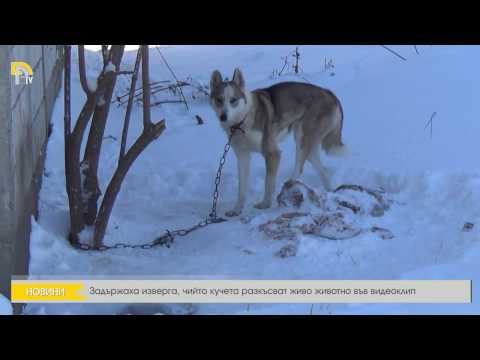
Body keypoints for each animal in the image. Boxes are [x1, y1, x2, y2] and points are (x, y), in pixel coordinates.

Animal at [210, 69, 344, 218]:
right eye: (219, 100)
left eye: (233, 100)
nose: (223, 116)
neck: (242, 121)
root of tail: (328, 92)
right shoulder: (243, 157)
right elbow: (242, 188)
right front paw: (237, 210)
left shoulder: (272, 153)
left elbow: (268, 183)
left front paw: (265, 204)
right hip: (309, 148)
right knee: (323, 170)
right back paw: (330, 192)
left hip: (301, 138)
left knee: (299, 168)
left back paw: (288, 187)